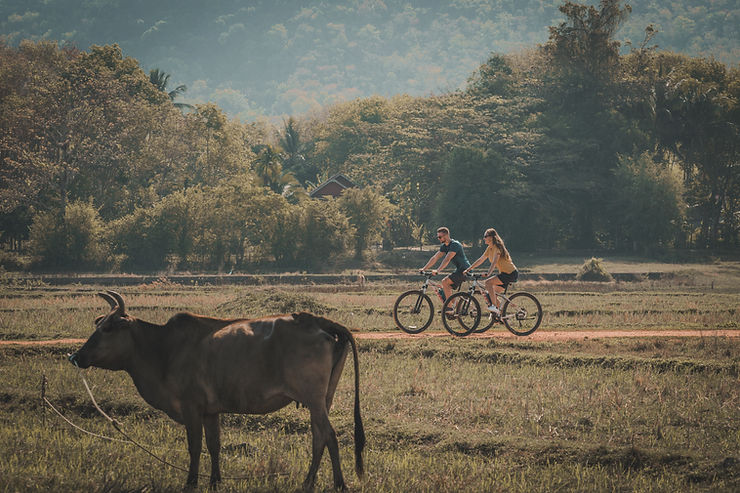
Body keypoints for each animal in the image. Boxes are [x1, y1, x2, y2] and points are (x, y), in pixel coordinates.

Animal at [69, 290, 364, 490]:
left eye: (108, 327)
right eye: (98, 325)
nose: (77, 356)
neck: (163, 349)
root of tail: (315, 320)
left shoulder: (191, 408)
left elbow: (195, 446)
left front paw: (191, 482)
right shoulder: (211, 412)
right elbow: (214, 445)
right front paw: (214, 481)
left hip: (313, 399)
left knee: (329, 435)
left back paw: (339, 483)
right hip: (323, 400)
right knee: (319, 437)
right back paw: (308, 481)